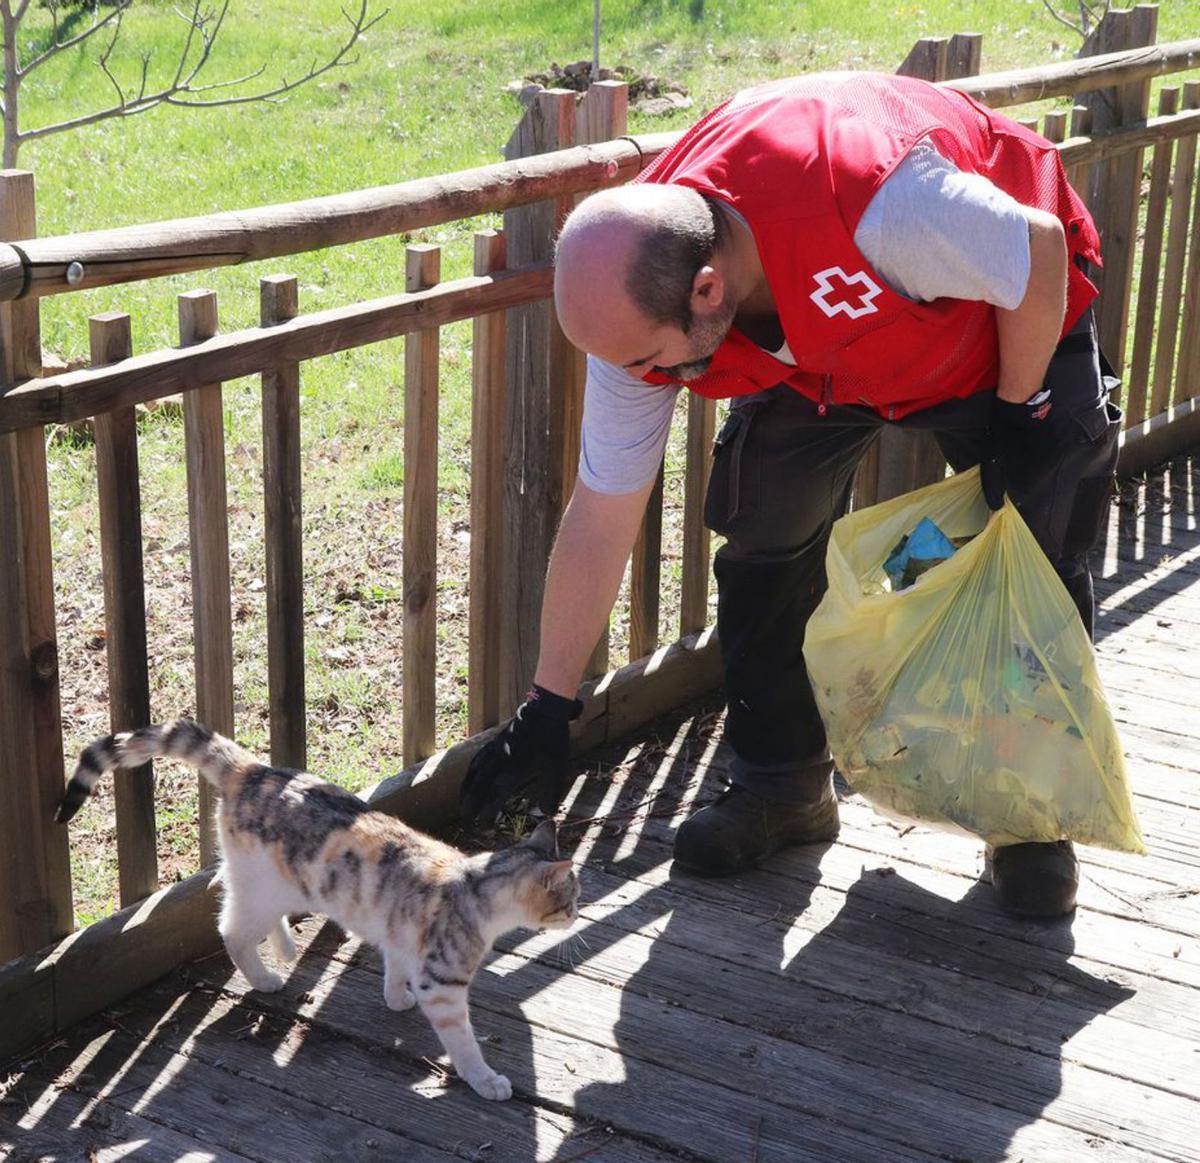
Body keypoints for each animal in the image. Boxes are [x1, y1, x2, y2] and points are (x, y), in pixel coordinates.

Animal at [56, 715, 580, 1099]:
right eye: (571, 898)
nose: (577, 914)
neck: (473, 883)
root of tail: (254, 769)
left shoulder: (399, 937)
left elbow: (393, 968)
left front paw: (395, 998)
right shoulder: (445, 986)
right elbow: (464, 1043)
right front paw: (487, 1080)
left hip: (272, 882)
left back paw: (286, 948)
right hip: (261, 889)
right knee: (230, 929)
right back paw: (266, 977)